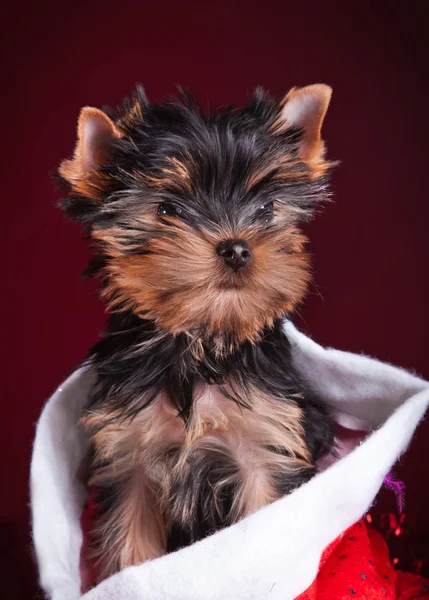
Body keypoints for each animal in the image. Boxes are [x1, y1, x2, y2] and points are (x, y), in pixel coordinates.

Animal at [56, 82, 336, 580]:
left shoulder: (266, 447)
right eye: (167, 208)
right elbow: (130, 543)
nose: (237, 248)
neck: (199, 339)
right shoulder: (130, 456)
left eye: (266, 208)